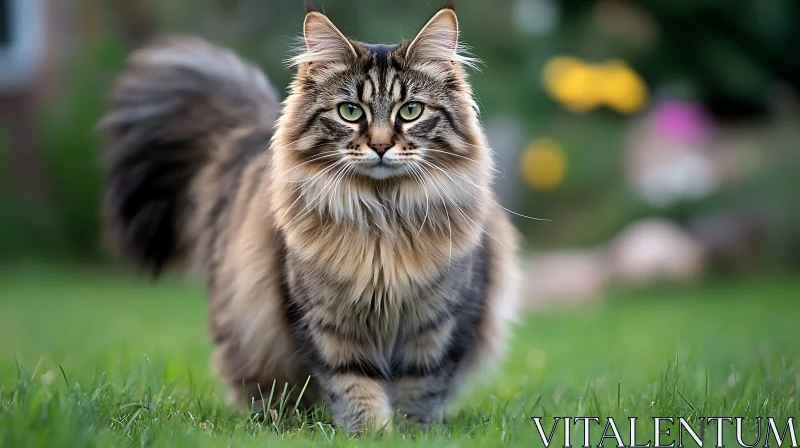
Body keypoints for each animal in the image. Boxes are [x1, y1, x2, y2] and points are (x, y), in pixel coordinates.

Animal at [98, 0, 520, 434]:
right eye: (350, 112)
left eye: (411, 111)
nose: (381, 146)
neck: (383, 222)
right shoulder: (326, 325)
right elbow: (354, 385)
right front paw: (370, 435)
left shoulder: (439, 324)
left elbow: (420, 388)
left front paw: (412, 434)